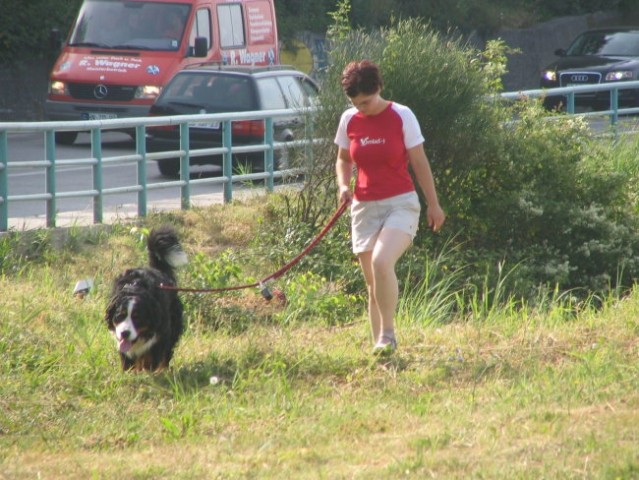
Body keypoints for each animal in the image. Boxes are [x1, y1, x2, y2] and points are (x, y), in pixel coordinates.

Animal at [105, 225, 189, 372]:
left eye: (137, 318)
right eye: (120, 316)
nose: (125, 333)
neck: (135, 288)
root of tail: (158, 269)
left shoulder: (161, 333)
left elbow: (150, 357)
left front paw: (147, 369)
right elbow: (127, 359)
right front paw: (130, 372)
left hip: (173, 324)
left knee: (166, 353)